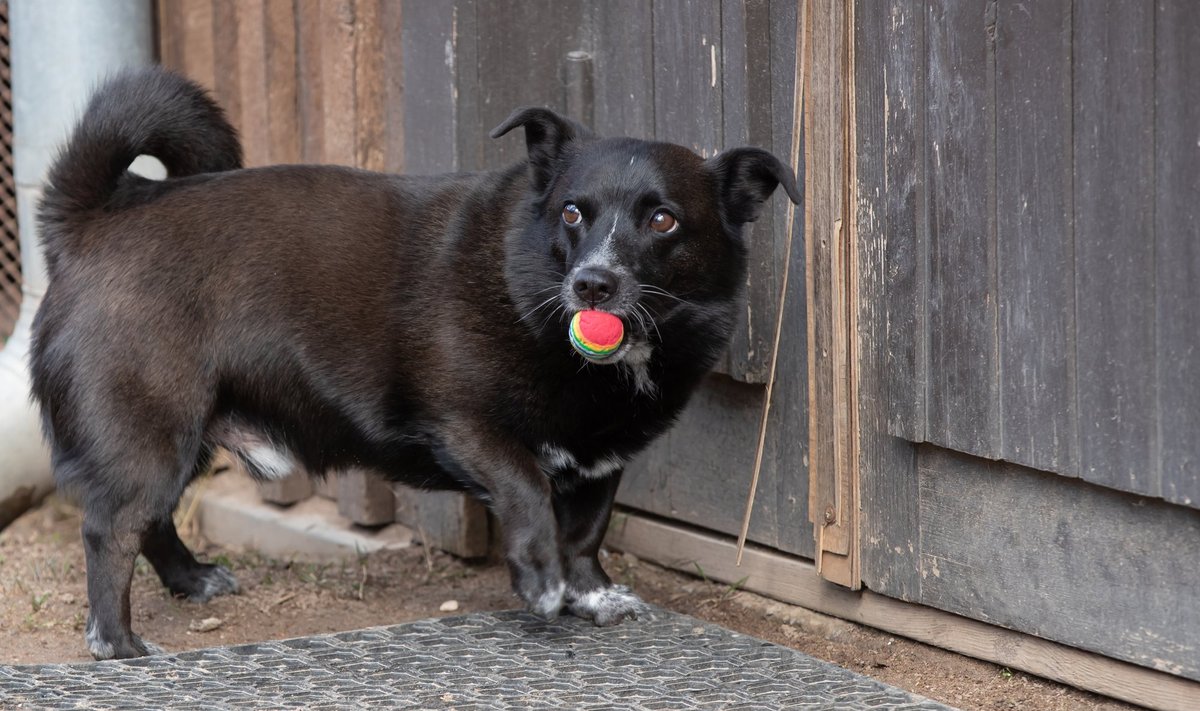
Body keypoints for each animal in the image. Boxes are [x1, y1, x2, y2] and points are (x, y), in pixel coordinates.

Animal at [30, 69, 796, 658]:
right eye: (573, 213)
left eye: (663, 220)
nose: (592, 285)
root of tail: (94, 220)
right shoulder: (466, 427)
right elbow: (529, 493)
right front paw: (541, 580)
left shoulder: (600, 462)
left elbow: (585, 532)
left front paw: (591, 594)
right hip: (150, 431)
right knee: (111, 529)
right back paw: (119, 643)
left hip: (178, 440)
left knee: (153, 521)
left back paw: (191, 582)